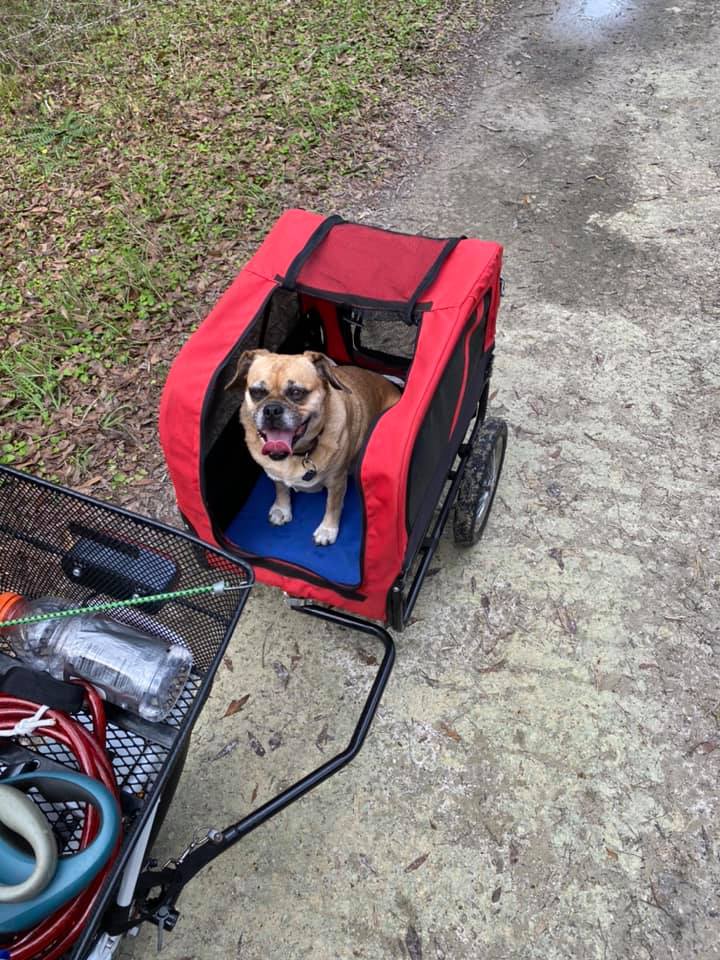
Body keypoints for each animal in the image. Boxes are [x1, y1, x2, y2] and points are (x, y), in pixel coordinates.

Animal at [226, 348, 400, 544]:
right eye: (257, 392)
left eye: (296, 392)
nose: (271, 410)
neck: (298, 455)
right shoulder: (275, 474)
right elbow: (281, 488)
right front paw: (282, 508)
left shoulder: (336, 482)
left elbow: (332, 506)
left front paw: (327, 529)